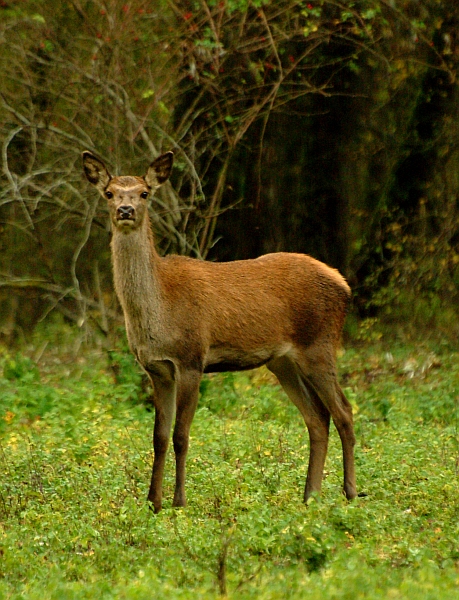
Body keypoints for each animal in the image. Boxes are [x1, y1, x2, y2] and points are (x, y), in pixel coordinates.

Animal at [81, 149, 358, 510]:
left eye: (144, 193)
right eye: (109, 193)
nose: (125, 211)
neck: (160, 307)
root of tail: (344, 285)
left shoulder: (191, 358)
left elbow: (181, 436)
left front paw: (179, 501)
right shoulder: (157, 368)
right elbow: (158, 436)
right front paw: (152, 502)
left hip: (320, 344)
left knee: (344, 411)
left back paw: (350, 492)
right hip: (283, 361)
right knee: (317, 418)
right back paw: (310, 496)